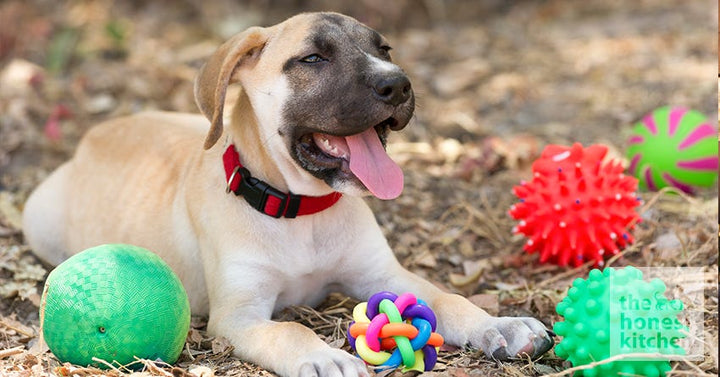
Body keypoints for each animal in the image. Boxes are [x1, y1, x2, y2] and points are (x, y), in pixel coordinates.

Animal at [22, 11, 552, 376]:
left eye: (385, 49)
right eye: (313, 59)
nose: (398, 85)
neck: (302, 211)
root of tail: (97, 133)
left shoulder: (384, 274)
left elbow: (447, 299)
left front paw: (501, 324)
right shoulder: (238, 317)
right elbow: (291, 329)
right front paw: (325, 358)